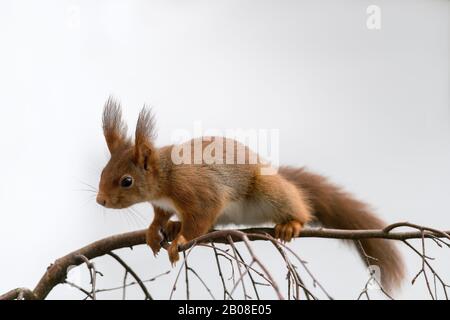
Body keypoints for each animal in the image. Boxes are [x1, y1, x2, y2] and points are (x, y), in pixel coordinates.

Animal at [96, 99, 404, 292]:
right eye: (103, 171)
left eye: (126, 181)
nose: (100, 200)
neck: (165, 177)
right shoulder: (163, 203)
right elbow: (160, 216)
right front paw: (155, 230)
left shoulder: (199, 191)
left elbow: (200, 218)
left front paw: (180, 240)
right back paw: (173, 225)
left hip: (270, 191)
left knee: (297, 204)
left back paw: (291, 223)